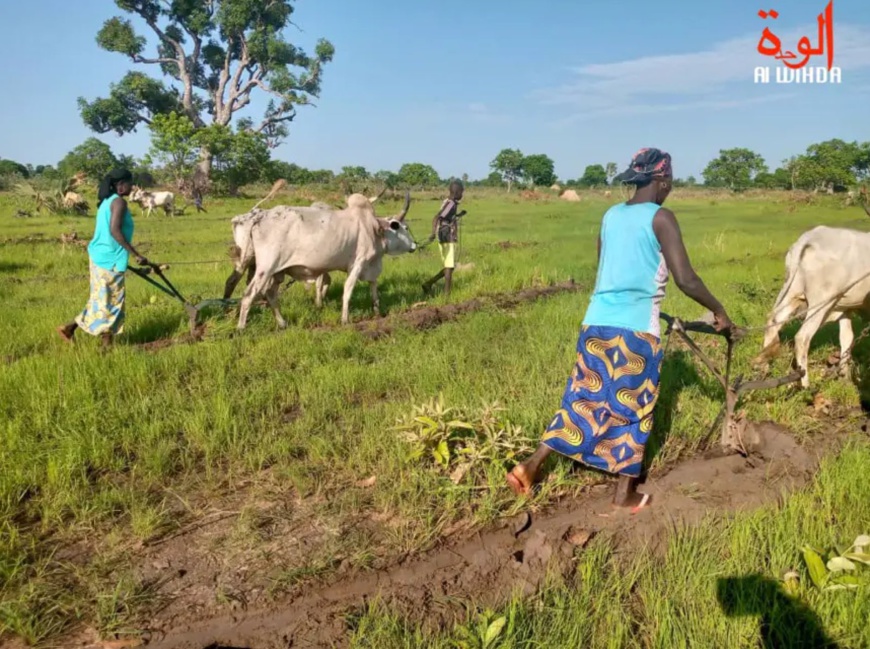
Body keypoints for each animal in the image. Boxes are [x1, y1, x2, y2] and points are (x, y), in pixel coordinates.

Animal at [228, 190, 412, 326]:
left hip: (276, 271)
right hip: (265, 269)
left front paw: (377, 312)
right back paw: (241, 328)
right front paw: (345, 320)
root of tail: (258, 217)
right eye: (404, 227)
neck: (374, 229)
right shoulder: (358, 264)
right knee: (248, 295)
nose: (414, 245)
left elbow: (373, 288)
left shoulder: (369, 266)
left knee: (270, 294)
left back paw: (282, 324)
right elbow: (348, 289)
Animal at [756, 225, 870, 388]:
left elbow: (847, 339)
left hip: (793, 293)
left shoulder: (844, 307)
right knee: (802, 337)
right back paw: (805, 385)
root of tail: (809, 238)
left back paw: (765, 369)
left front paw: (845, 378)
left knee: (773, 321)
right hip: (820, 302)